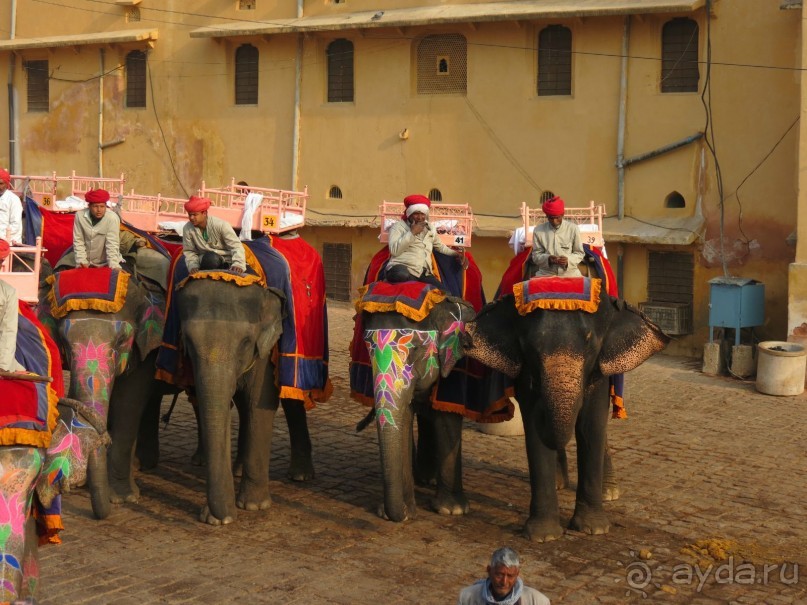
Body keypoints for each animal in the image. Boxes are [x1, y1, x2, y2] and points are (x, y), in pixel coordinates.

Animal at [175, 274, 292, 524]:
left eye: (246, 342)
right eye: (188, 342)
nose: (227, 517)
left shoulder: (266, 350)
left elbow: (260, 404)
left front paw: (254, 506)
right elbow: (220, 408)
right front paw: (216, 519)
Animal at [460, 288, 668, 544]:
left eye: (589, 340)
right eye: (530, 345)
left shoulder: (598, 367)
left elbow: (591, 425)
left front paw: (594, 529)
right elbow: (534, 429)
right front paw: (544, 536)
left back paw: (608, 491)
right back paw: (560, 484)